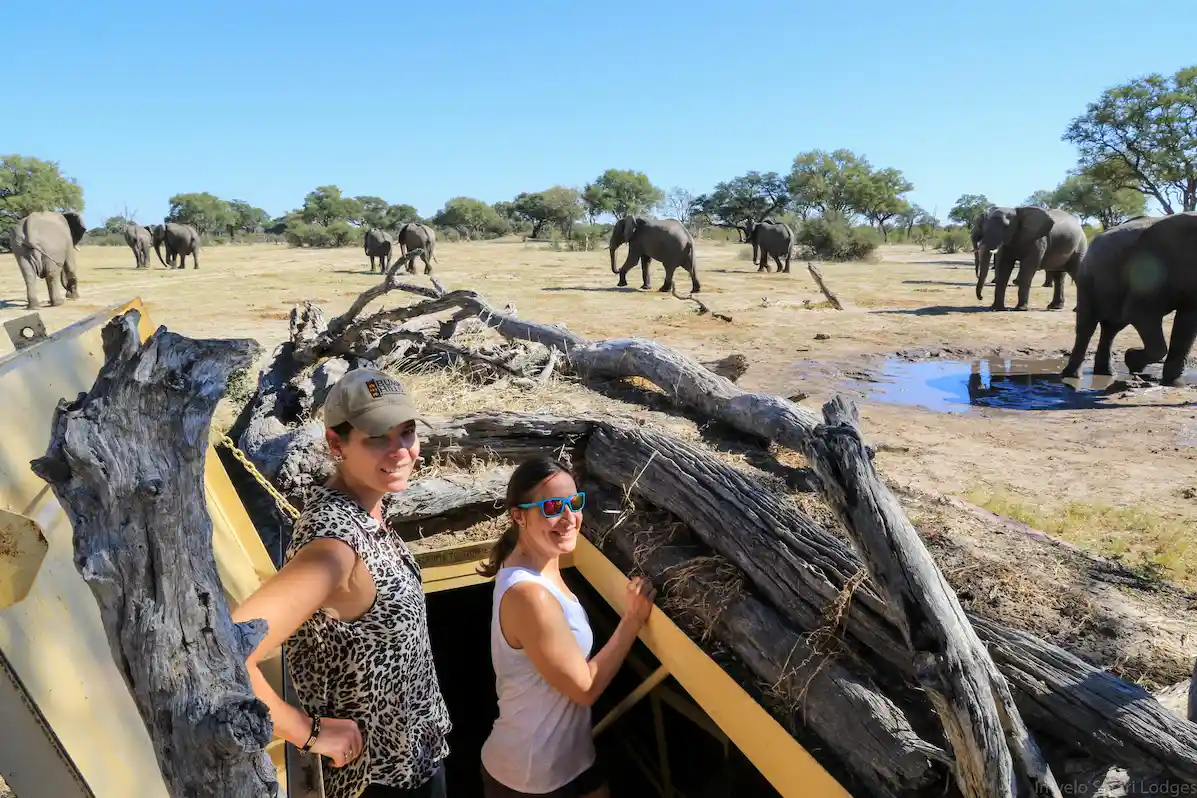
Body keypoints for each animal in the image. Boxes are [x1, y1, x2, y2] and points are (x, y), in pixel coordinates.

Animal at [1067, 211, 1197, 387]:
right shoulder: (1151, 265)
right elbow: (1138, 312)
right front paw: (1132, 360)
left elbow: (1187, 324)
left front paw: (1175, 384)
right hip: (1087, 276)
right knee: (1087, 325)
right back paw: (1073, 376)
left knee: (1112, 327)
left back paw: (1108, 373)